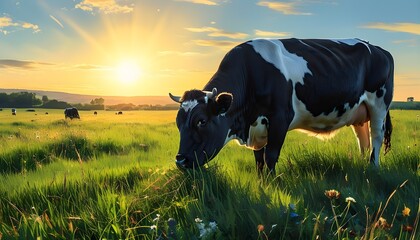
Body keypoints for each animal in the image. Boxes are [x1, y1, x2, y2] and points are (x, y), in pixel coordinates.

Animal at [170, 38, 394, 175]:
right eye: (178, 123)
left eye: (202, 121)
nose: (180, 161)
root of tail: (379, 49)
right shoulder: (257, 126)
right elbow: (259, 160)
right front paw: (261, 184)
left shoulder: (279, 119)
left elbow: (270, 156)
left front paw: (272, 185)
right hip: (359, 112)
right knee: (363, 140)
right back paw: (362, 166)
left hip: (379, 105)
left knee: (376, 136)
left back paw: (373, 167)